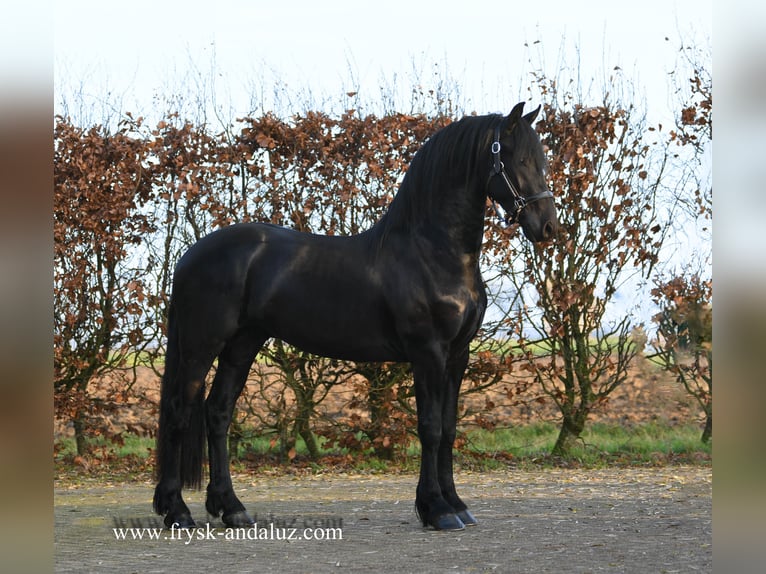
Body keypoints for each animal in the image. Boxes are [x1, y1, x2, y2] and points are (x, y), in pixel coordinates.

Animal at [153, 102, 558, 531]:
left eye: (541, 159)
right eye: (518, 159)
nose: (548, 226)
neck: (431, 251)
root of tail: (189, 256)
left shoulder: (457, 355)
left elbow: (448, 429)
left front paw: (457, 504)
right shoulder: (427, 352)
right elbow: (430, 428)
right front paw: (437, 510)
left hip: (242, 344)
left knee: (218, 413)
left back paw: (231, 507)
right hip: (201, 345)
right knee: (179, 412)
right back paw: (177, 511)